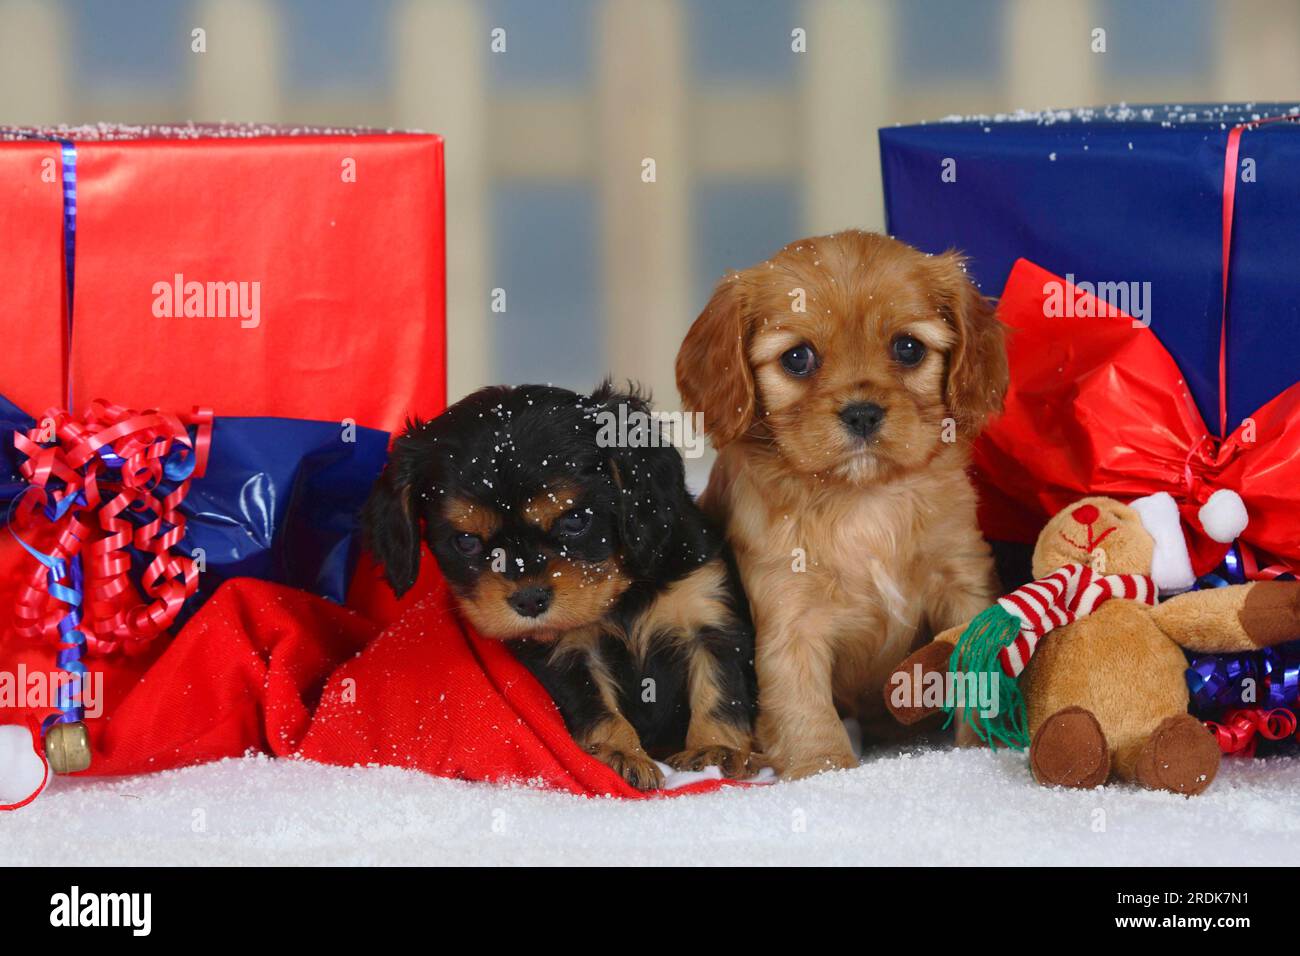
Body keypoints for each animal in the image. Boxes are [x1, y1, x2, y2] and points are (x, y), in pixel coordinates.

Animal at [358, 385, 759, 790]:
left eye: (576, 520)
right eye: (466, 542)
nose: (529, 600)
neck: (620, 596)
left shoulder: (708, 616)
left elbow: (720, 691)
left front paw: (716, 751)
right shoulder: (567, 653)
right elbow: (595, 706)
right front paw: (620, 753)